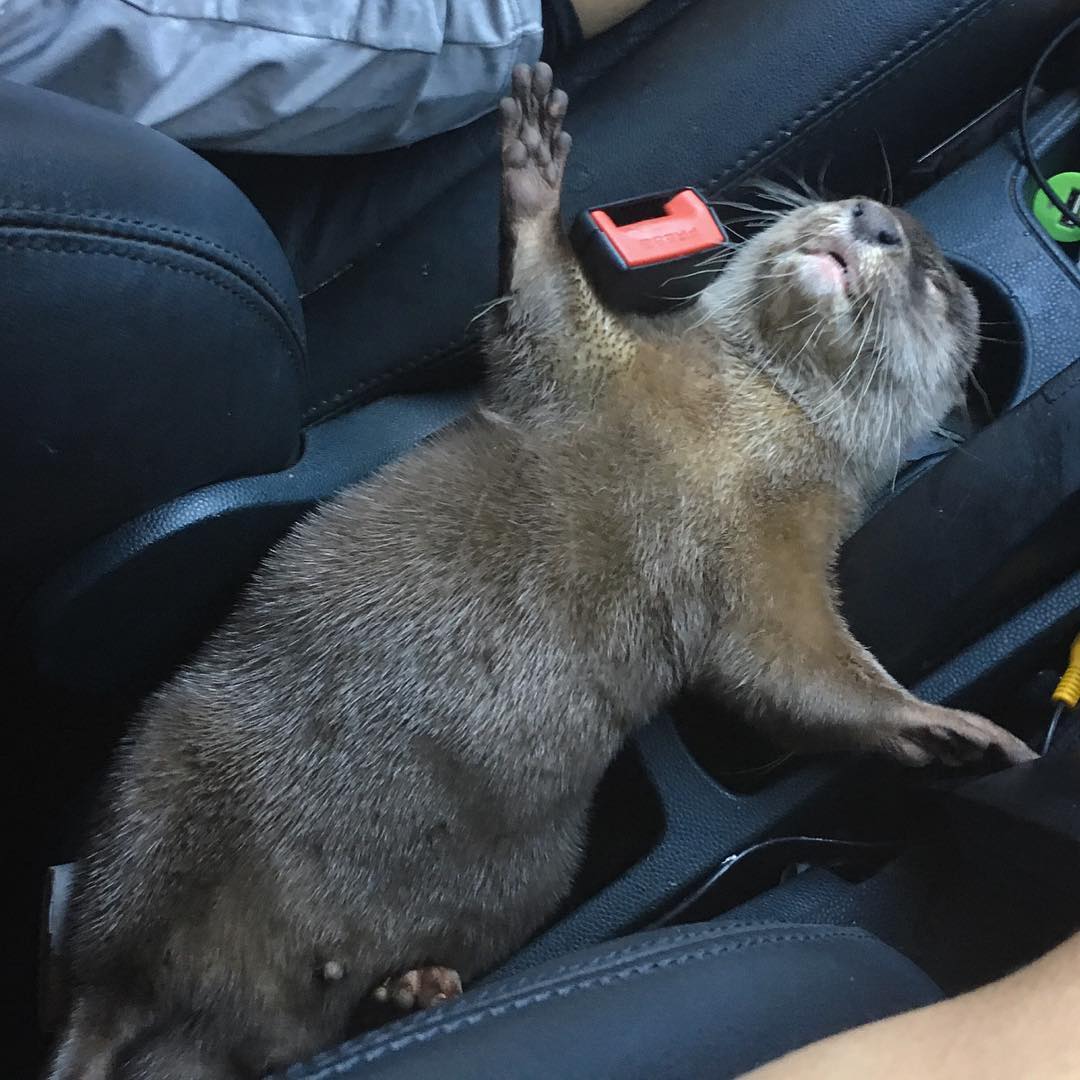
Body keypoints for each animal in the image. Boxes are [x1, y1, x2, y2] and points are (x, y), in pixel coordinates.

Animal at [50, 63, 1036, 1075]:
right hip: (163, 764)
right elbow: (537, 298)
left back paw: (416, 988)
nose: (877, 221)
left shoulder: (777, 565)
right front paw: (532, 157)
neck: (744, 427)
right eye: (852, 199)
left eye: (932, 279)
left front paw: (955, 735)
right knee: (109, 954)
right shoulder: (589, 368)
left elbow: (793, 678)